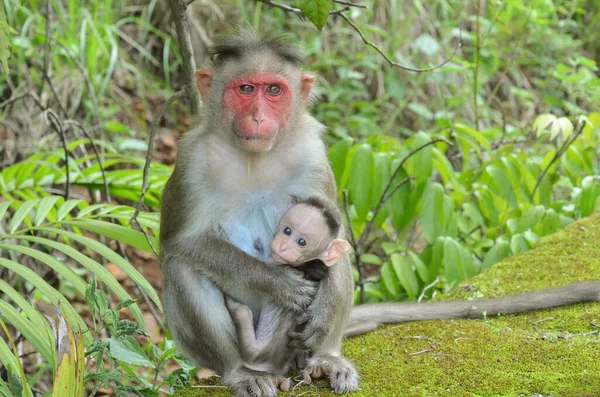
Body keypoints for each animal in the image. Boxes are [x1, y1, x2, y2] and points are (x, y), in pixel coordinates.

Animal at [224, 196, 346, 386]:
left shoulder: (276, 261)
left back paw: (235, 306)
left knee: (243, 318)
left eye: (302, 242)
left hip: (254, 352)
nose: (282, 246)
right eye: (287, 230)